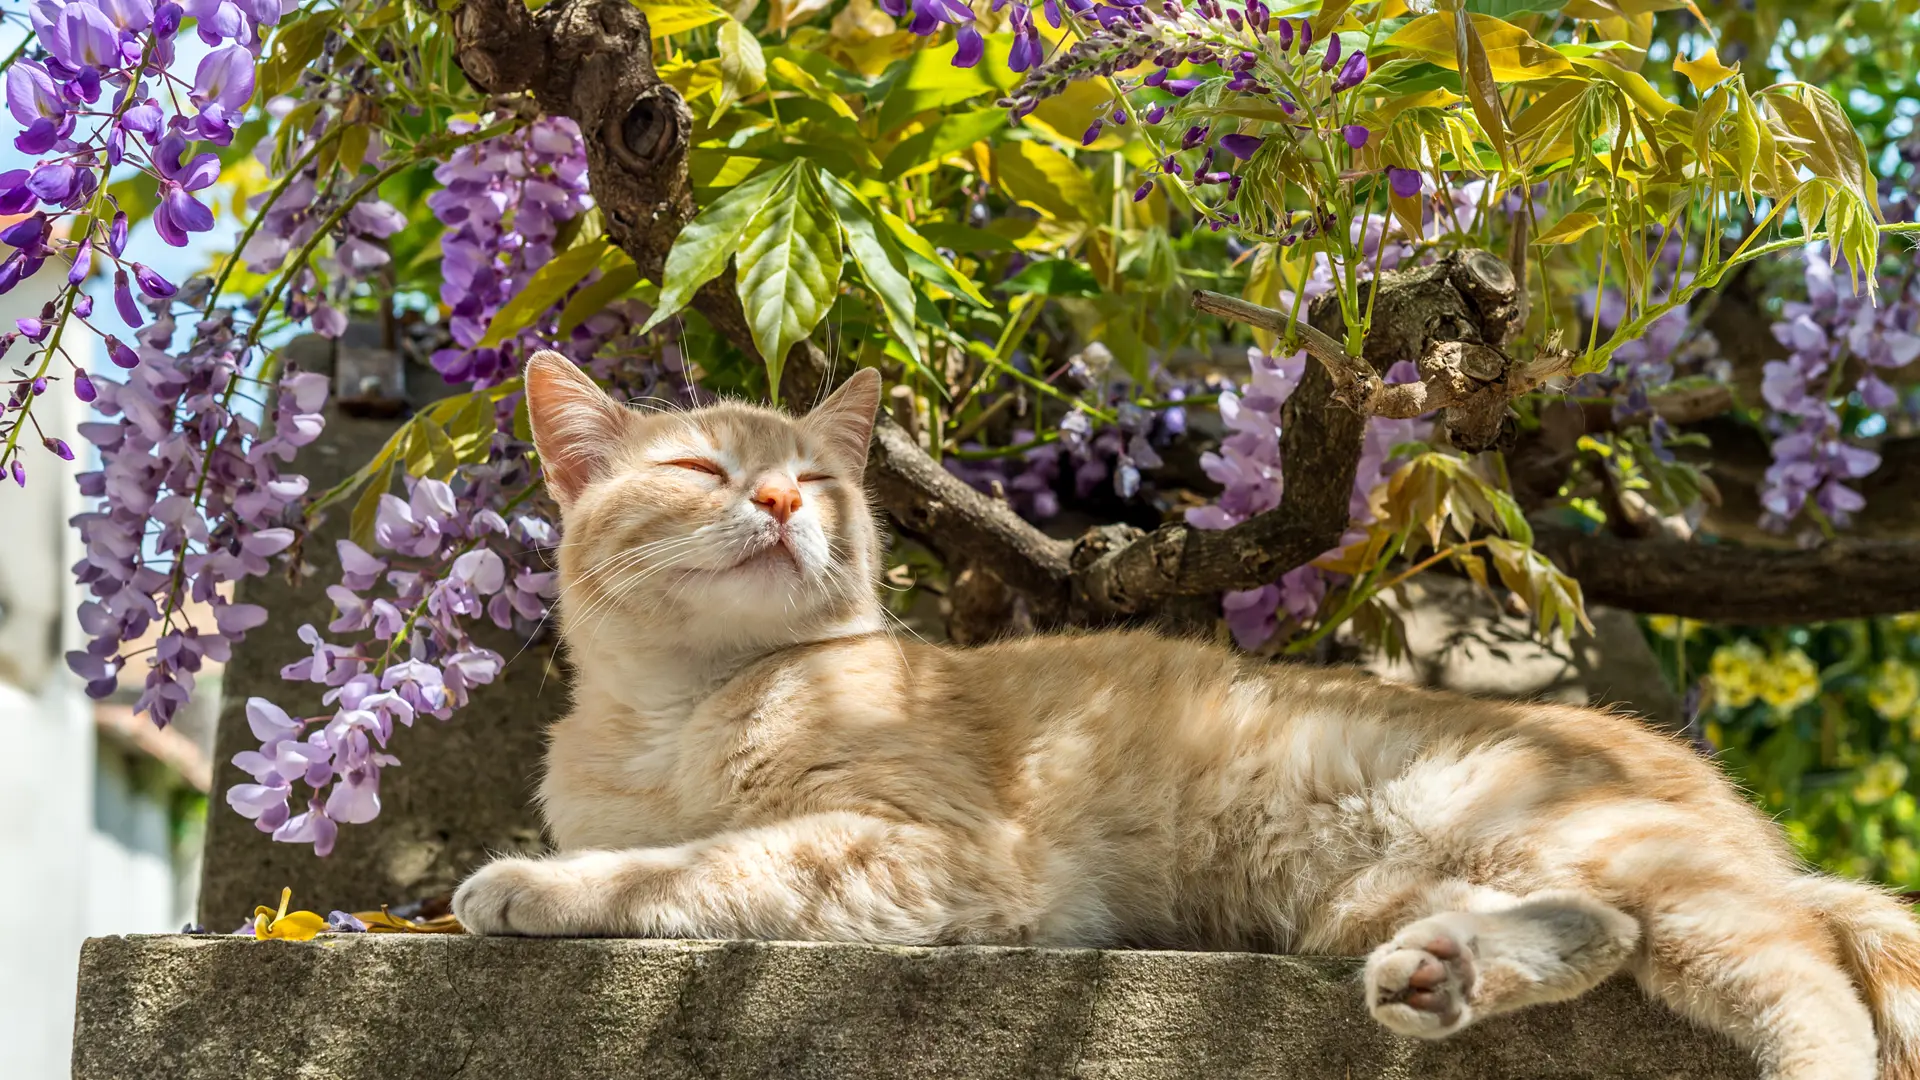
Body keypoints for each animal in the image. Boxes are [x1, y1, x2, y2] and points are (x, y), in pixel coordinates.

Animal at [453, 349, 1920, 1068]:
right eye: (705, 470)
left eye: (813, 480)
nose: (772, 500)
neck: (682, 709)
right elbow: (670, 849)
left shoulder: (928, 851)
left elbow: (692, 865)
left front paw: (529, 884)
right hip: (1414, 884)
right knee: (1607, 935)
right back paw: (1442, 976)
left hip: (1613, 854)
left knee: (1809, 983)